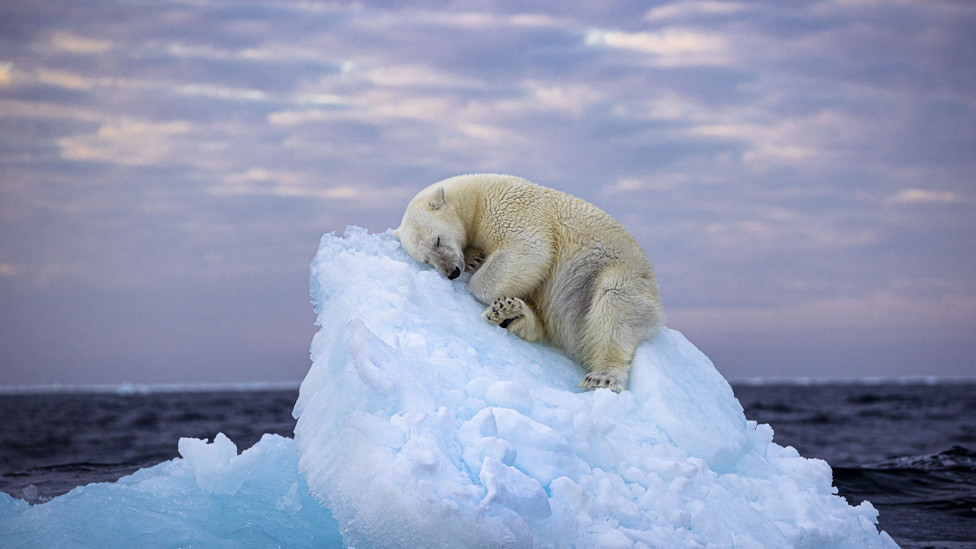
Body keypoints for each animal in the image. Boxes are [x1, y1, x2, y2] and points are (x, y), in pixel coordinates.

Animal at [394, 173, 664, 392]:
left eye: (438, 240)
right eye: (426, 260)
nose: (452, 272)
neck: (476, 196)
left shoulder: (511, 209)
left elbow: (529, 249)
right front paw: (475, 259)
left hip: (618, 275)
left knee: (614, 308)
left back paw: (603, 376)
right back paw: (510, 313)